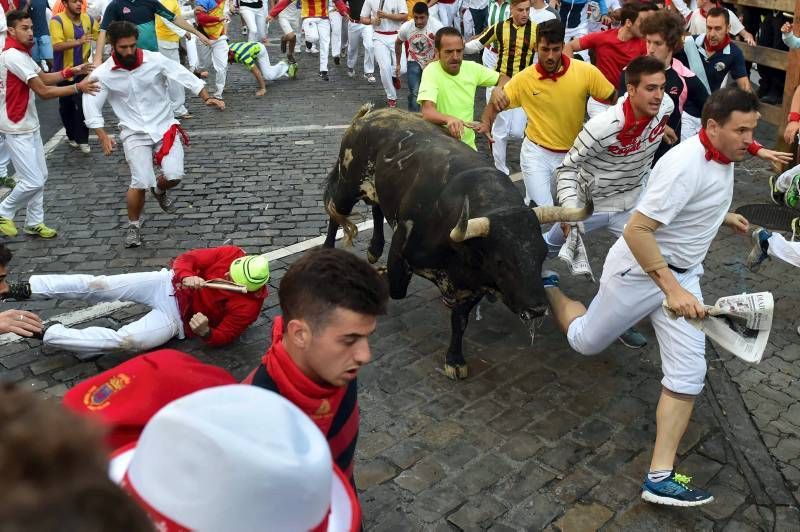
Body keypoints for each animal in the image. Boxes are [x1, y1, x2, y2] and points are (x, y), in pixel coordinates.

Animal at [322, 106, 592, 378]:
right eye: (501, 261)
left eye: (542, 253)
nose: (536, 309)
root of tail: (373, 113)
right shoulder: (401, 250)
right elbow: (396, 288)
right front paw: (378, 274)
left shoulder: (473, 287)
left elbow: (459, 321)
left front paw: (454, 359)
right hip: (348, 186)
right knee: (335, 213)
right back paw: (328, 251)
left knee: (376, 207)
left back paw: (374, 248)